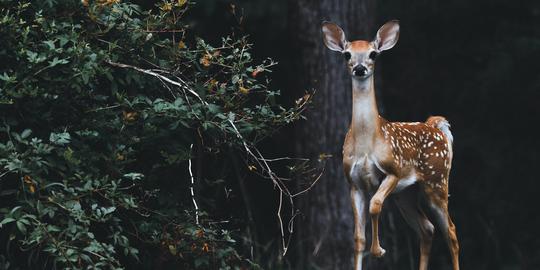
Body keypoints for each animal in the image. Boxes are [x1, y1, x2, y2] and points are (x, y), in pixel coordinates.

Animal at [320, 21, 460, 270]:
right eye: (347, 54)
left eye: (373, 54)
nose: (359, 68)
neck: (366, 144)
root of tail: (436, 126)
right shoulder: (353, 183)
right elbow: (358, 238)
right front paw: (372, 249)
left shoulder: (393, 170)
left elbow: (375, 204)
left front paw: (379, 250)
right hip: (406, 193)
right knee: (427, 228)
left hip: (437, 181)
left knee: (451, 231)